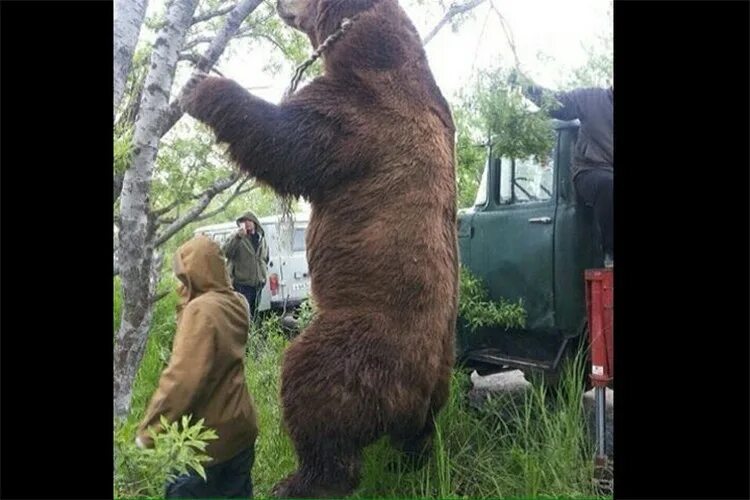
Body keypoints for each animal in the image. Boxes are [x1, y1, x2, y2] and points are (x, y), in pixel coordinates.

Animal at [185, 0, 462, 496]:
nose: (280, 5)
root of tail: (413, 395)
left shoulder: (361, 115)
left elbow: (288, 140)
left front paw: (202, 85)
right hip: (439, 374)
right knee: (422, 431)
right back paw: (412, 462)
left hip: (361, 342)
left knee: (314, 390)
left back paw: (301, 480)